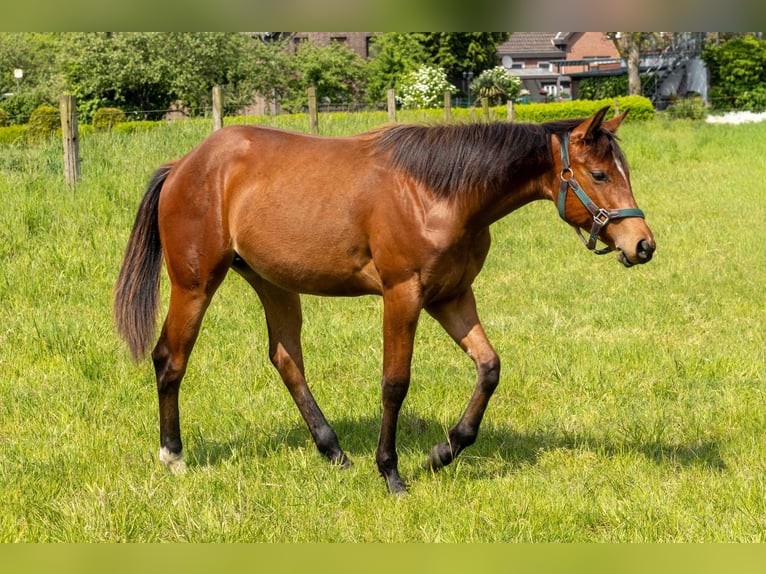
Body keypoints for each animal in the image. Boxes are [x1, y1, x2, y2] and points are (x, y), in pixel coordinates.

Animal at [114, 105, 655, 494]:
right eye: (600, 175)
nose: (643, 245)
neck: (439, 191)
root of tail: (183, 165)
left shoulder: (452, 297)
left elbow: (490, 368)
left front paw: (443, 453)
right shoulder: (403, 296)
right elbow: (395, 383)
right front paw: (391, 472)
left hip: (275, 284)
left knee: (286, 360)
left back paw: (333, 451)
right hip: (195, 285)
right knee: (170, 360)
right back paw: (173, 456)